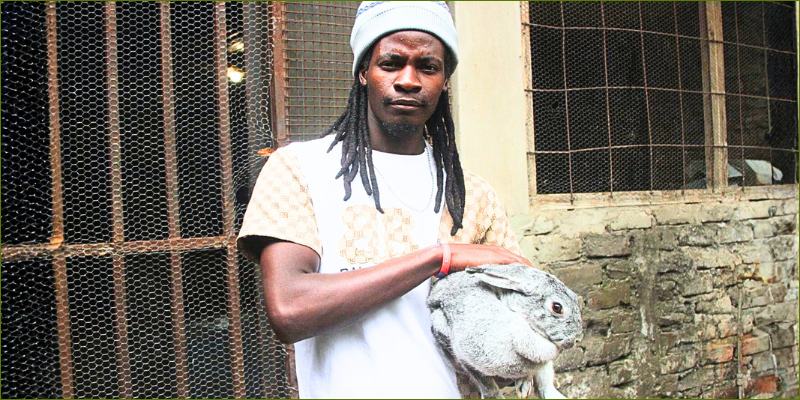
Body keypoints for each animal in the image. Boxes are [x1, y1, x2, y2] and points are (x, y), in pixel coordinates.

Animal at [427, 263, 582, 399]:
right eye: (557, 307)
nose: (574, 340)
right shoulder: (465, 358)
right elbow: (485, 383)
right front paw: (496, 396)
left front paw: (524, 386)